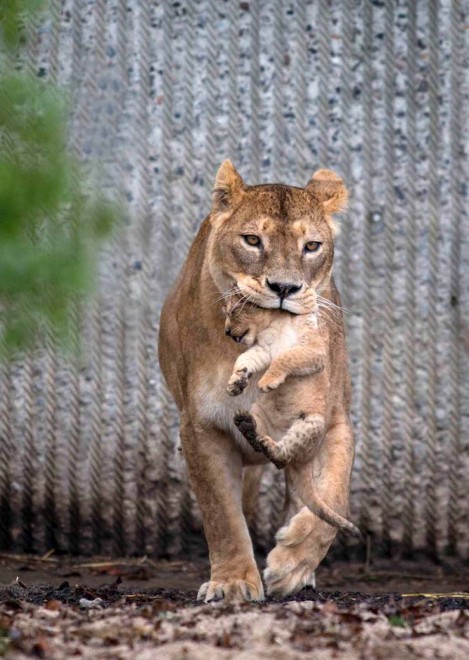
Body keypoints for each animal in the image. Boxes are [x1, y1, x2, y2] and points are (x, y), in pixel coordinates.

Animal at [222, 295, 361, 540]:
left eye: (234, 311)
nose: (227, 331)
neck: (273, 324)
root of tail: (307, 459)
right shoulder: (262, 350)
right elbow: (245, 359)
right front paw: (235, 383)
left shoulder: (312, 348)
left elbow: (286, 357)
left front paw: (267, 382)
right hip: (258, 409)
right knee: (263, 447)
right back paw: (247, 426)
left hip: (311, 424)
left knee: (283, 457)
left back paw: (272, 446)